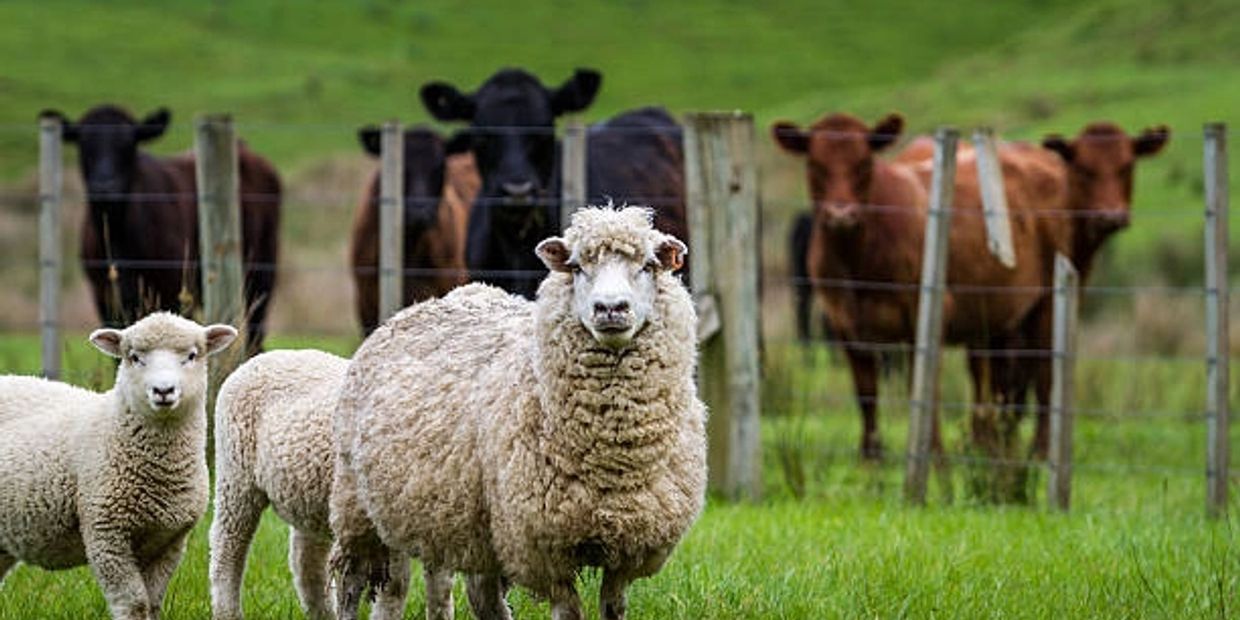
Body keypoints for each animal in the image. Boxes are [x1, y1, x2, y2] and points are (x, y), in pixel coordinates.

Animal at [0, 312, 237, 620]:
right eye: (134, 357)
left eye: (192, 355)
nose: (163, 390)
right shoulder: (106, 534)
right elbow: (134, 603)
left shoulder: (169, 541)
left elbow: (153, 603)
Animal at [40, 104, 281, 355]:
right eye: (84, 144)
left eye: (129, 144)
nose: (105, 187)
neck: (118, 237)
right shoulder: (104, 296)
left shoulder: (173, 287)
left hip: (261, 273)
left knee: (255, 334)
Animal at [209, 349, 409, 620]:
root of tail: (263, 357)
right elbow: (392, 586)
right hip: (236, 476)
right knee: (227, 547)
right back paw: (227, 611)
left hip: (309, 496)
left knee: (306, 564)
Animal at [330, 205, 707, 620]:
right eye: (576, 267)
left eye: (649, 265)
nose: (610, 308)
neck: (612, 456)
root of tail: (420, 305)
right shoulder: (543, 549)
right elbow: (568, 612)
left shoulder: (629, 549)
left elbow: (613, 608)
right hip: (358, 504)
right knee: (354, 583)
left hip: (454, 514)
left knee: (465, 589)